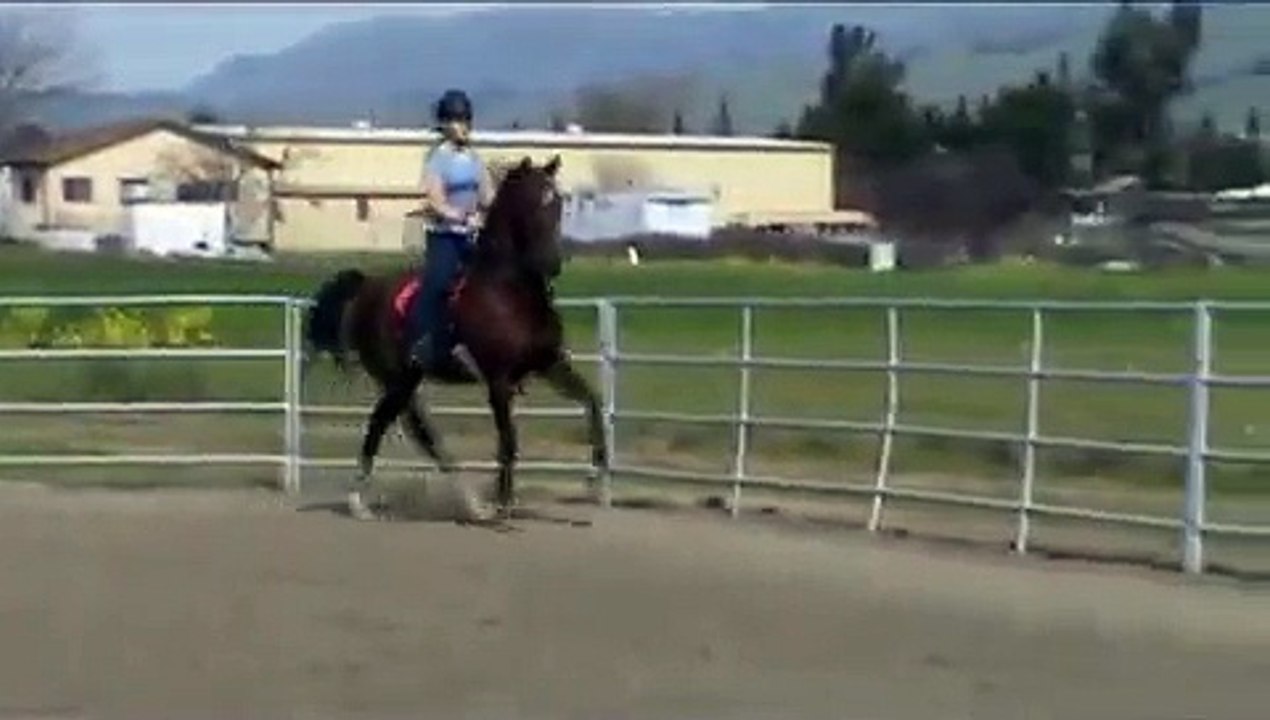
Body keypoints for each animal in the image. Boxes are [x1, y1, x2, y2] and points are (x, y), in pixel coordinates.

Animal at [302, 155, 607, 520]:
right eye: (531, 202)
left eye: (558, 202)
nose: (552, 262)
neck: (508, 291)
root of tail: (366, 288)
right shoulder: (498, 380)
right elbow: (508, 440)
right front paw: (503, 502)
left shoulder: (550, 365)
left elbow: (592, 403)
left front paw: (595, 480)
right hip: (396, 379)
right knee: (384, 425)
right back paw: (359, 502)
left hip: (408, 380)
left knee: (420, 434)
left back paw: (471, 504)